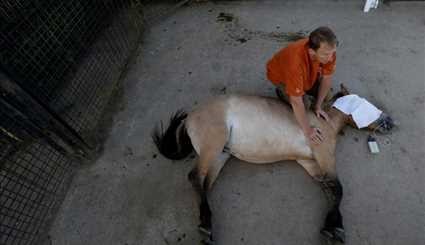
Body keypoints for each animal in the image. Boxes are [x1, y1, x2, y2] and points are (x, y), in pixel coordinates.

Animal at [152, 84, 394, 245]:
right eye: (366, 102)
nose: (390, 121)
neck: (324, 121)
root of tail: (189, 117)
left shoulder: (310, 163)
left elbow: (331, 190)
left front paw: (333, 227)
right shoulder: (323, 155)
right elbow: (339, 189)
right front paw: (334, 230)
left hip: (220, 156)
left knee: (203, 183)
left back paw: (206, 226)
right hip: (213, 145)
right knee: (194, 177)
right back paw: (205, 226)